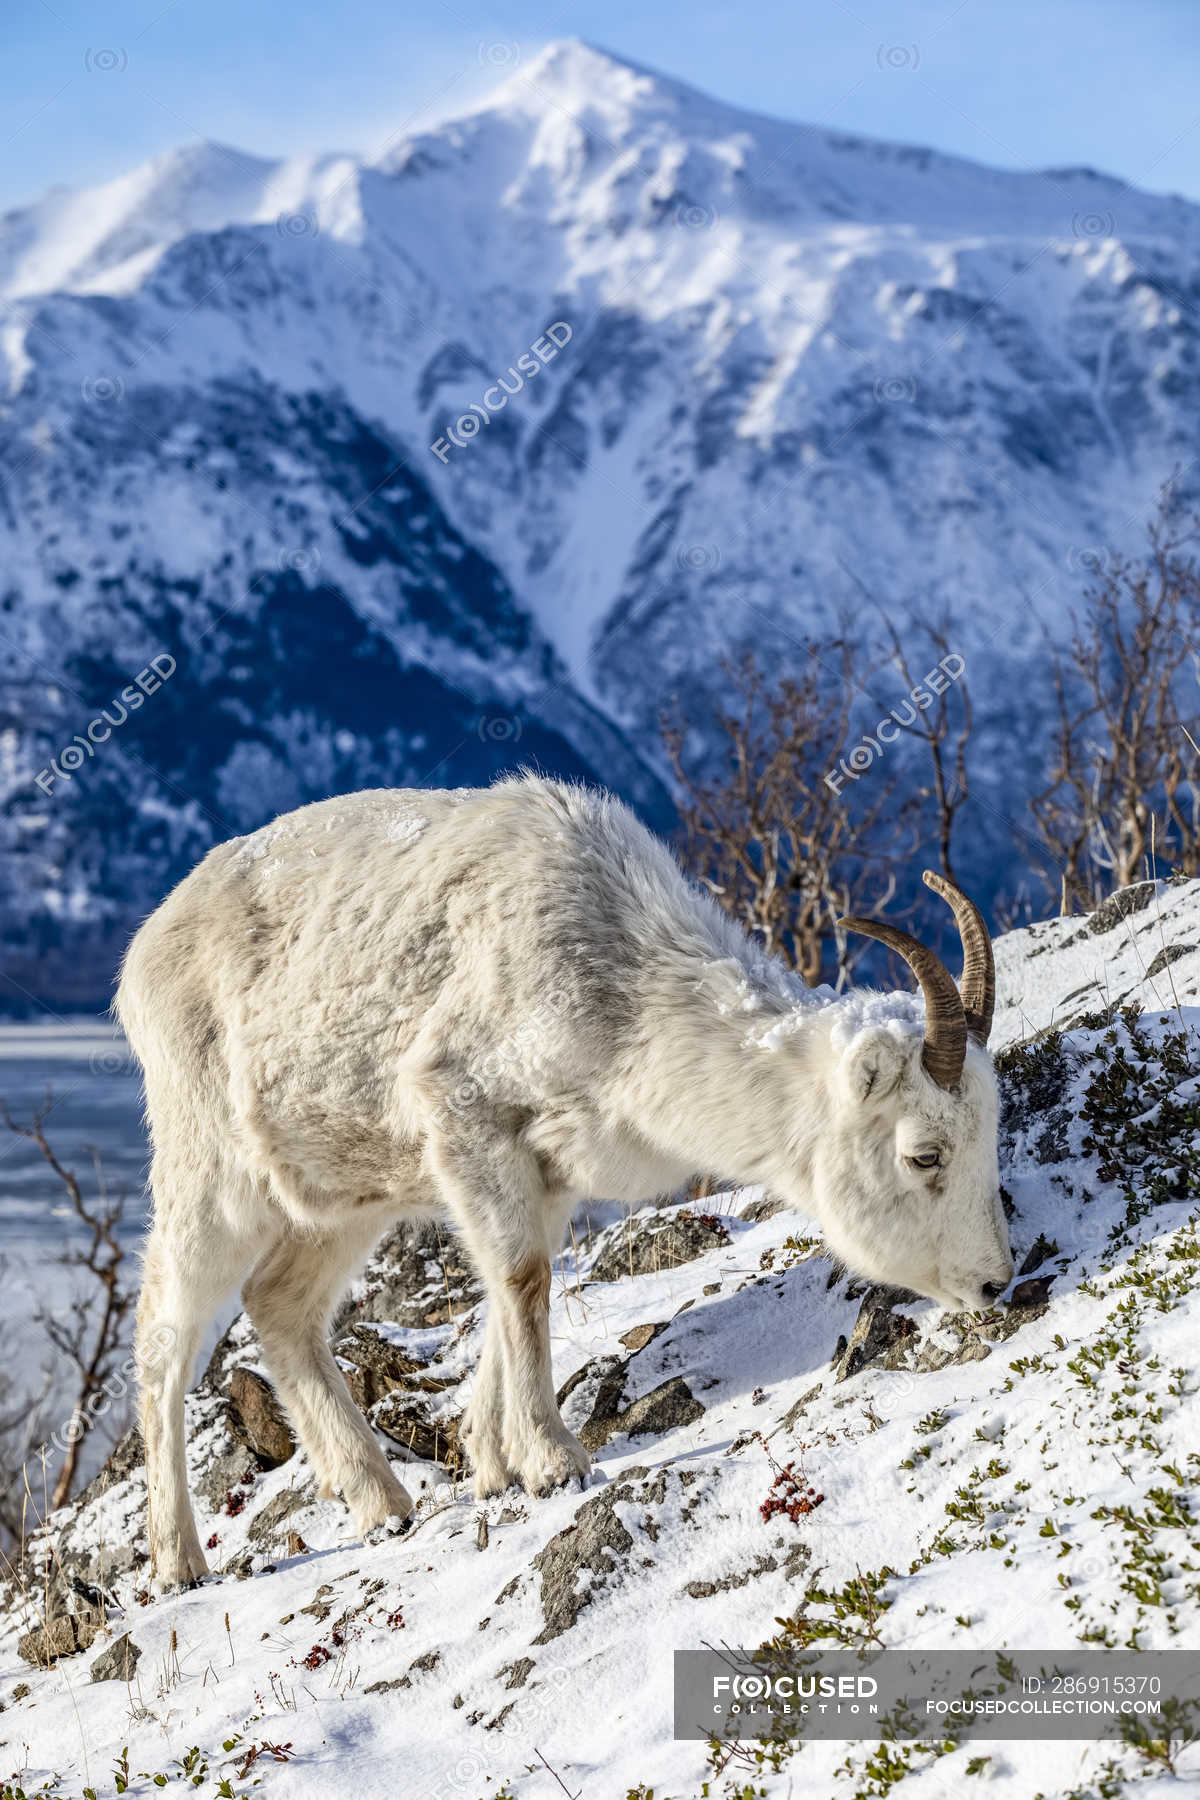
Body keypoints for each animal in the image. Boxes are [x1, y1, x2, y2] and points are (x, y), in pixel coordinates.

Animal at [119, 774, 1014, 1591]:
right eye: (925, 1154)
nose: (994, 1283)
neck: (624, 992)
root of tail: (141, 958)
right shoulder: (471, 1125)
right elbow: (521, 1282)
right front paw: (557, 1464)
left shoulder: (545, 1174)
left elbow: (511, 1290)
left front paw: (494, 1469)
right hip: (210, 1179)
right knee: (165, 1333)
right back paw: (180, 1564)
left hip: (342, 1202)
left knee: (281, 1309)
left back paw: (383, 1505)